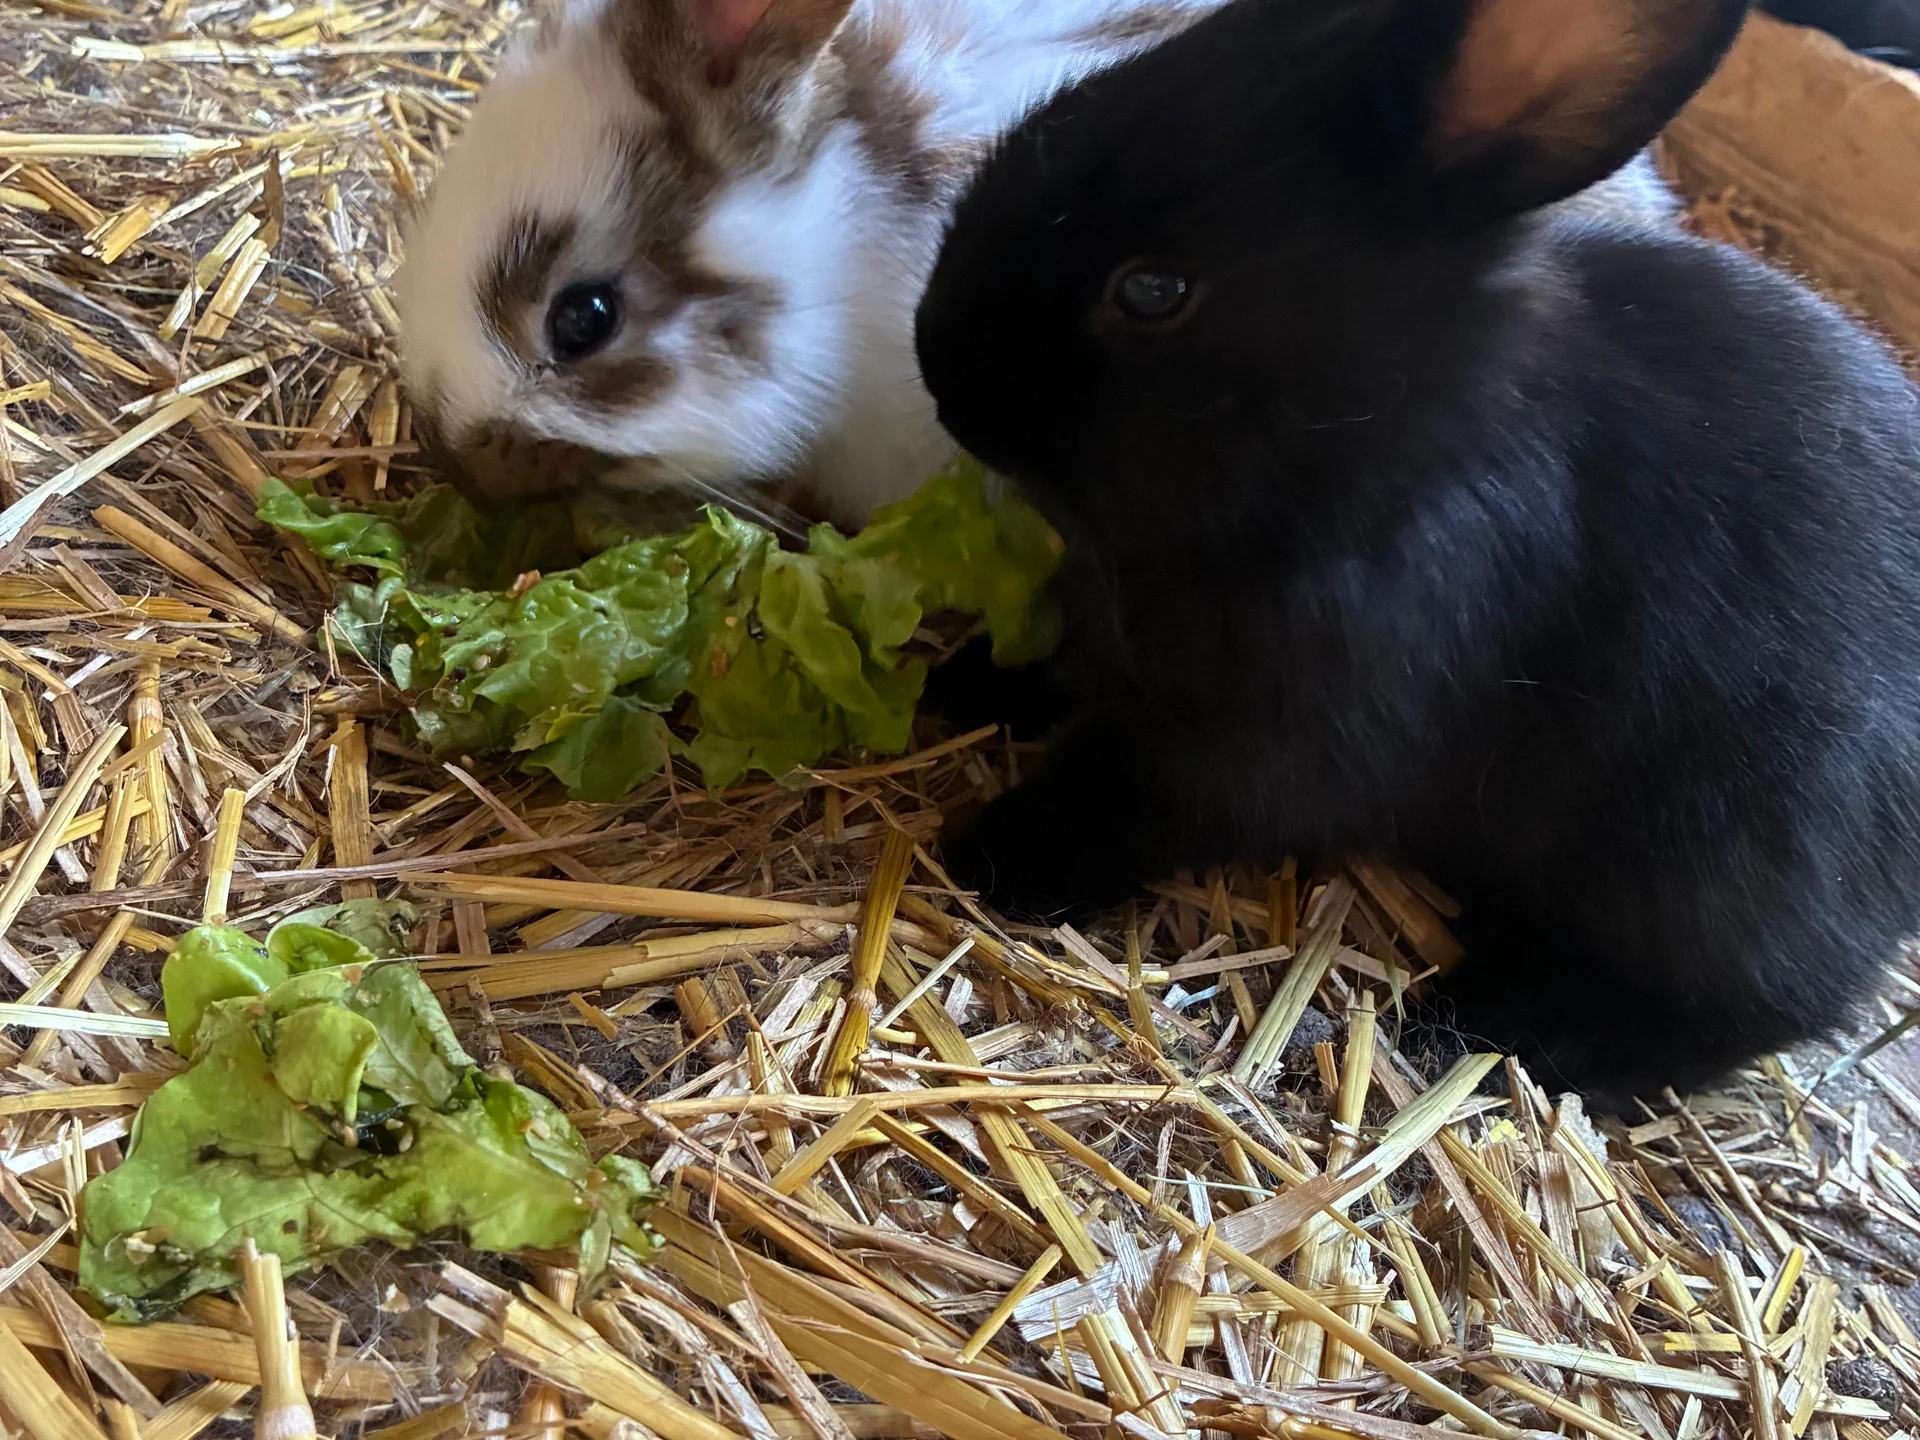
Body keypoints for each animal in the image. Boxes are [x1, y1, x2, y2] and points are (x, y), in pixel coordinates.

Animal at [913, 0, 1920, 1102]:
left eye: (1154, 290)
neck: (1384, 452)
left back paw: (1511, 1022)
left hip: (1710, 864)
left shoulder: (1281, 734)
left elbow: (1136, 797)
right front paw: (956, 686)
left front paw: (993, 854)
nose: (938, 366)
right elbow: (1054, 666)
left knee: (1758, 1007)